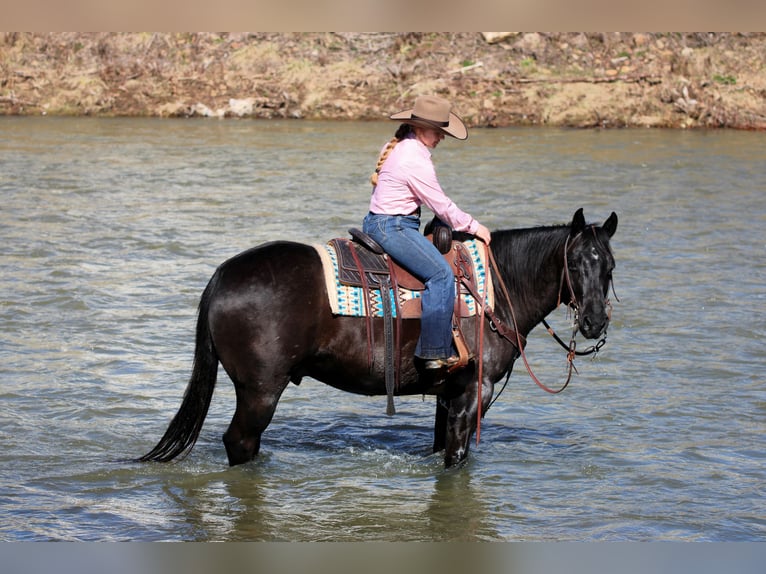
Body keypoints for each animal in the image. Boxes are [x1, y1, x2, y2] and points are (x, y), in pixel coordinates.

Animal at [137, 207, 618, 468]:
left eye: (610, 265)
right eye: (575, 263)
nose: (595, 322)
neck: (495, 292)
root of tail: (222, 275)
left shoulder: (449, 395)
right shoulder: (473, 391)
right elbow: (457, 459)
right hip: (260, 390)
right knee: (239, 442)